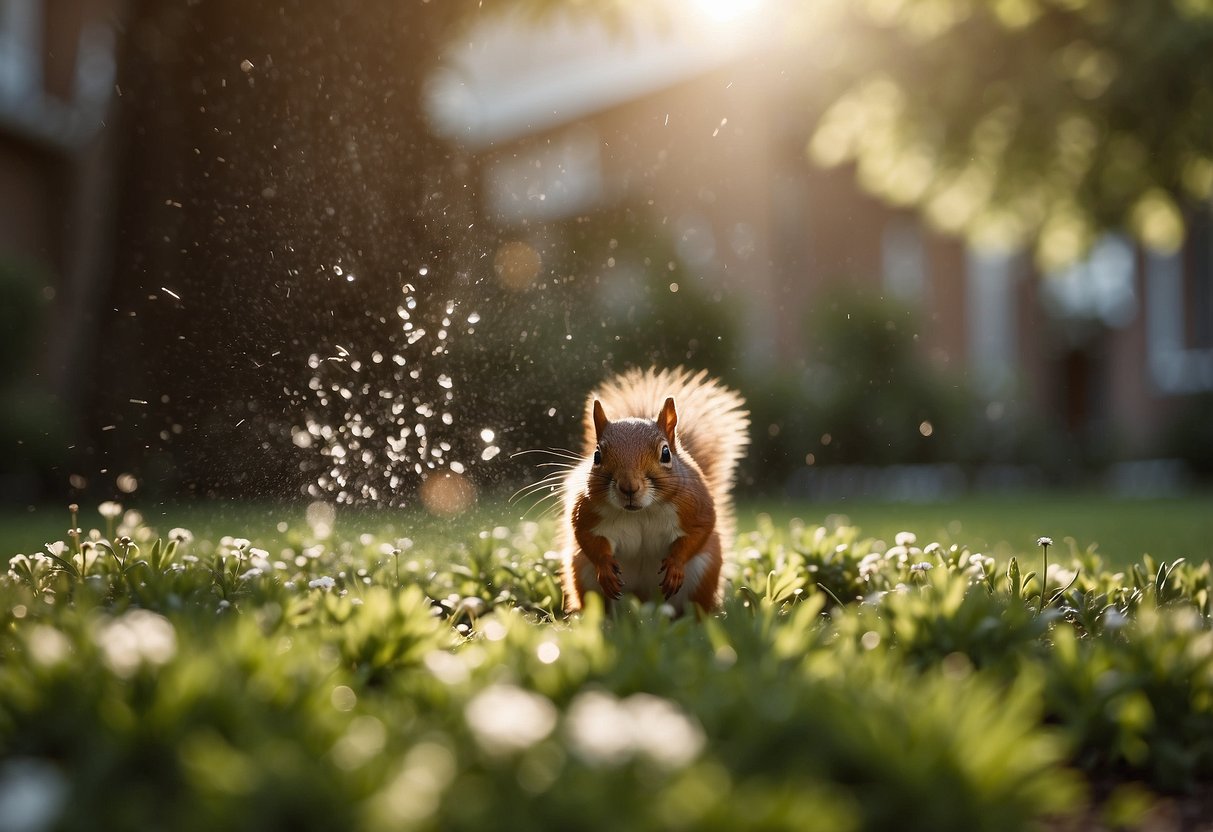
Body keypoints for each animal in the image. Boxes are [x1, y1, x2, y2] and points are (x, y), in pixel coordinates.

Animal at [557, 368, 747, 616]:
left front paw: (675, 566)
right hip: (584, 576)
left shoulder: (694, 506)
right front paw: (605, 569)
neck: (641, 511)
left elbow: (699, 531)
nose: (629, 487)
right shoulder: (587, 511)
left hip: (702, 574)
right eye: (597, 455)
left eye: (665, 453)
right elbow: (586, 536)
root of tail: (645, 600)